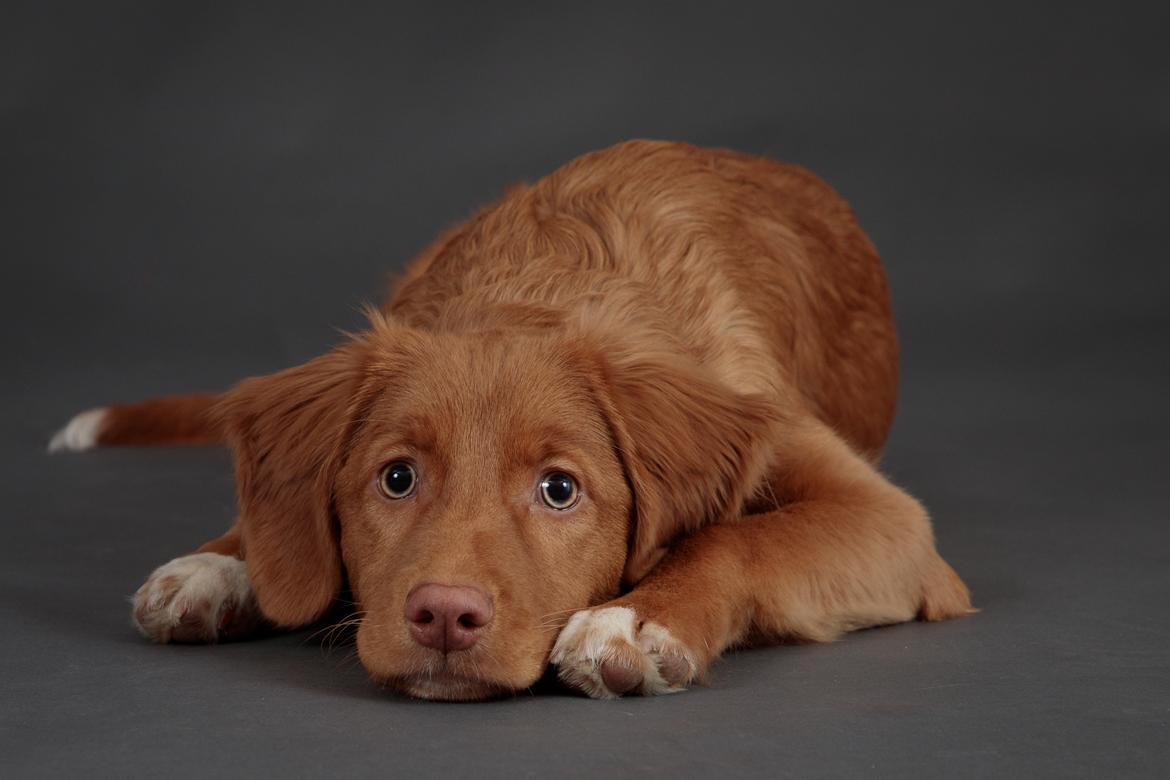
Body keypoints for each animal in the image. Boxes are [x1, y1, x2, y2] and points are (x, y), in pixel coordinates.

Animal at [50, 140, 973, 701]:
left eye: (559, 490)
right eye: (396, 478)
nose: (443, 617)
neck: (541, 286)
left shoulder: (892, 523)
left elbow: (738, 536)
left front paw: (641, 617)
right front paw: (220, 566)